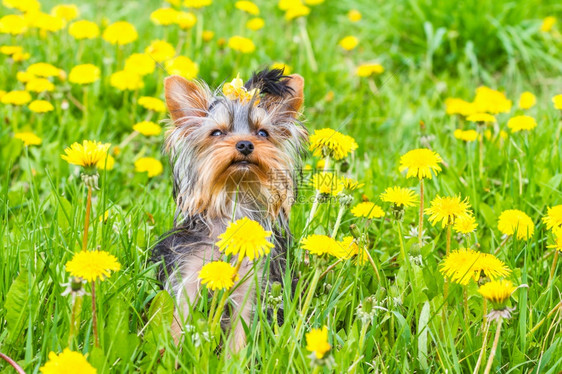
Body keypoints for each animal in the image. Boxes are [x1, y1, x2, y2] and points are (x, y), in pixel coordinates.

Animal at [153, 68, 306, 352]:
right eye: (216, 133)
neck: (235, 194)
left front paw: (234, 358)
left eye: (263, 133)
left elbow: (240, 331)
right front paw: (176, 353)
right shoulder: (190, 273)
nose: (245, 144)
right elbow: (180, 318)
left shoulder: (251, 282)